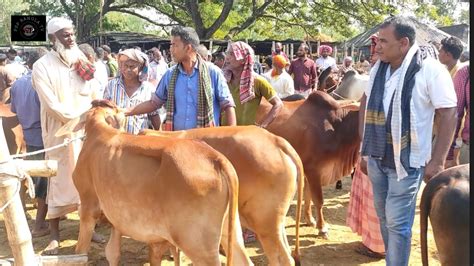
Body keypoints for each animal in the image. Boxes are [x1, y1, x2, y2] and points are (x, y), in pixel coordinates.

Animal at [61, 100, 250, 266]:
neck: (100, 130)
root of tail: (215, 158)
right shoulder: (117, 220)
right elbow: (112, 253)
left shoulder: (88, 207)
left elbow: (80, 253)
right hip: (231, 233)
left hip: (199, 246)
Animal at [258, 91, 362, 237]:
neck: (337, 126)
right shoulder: (314, 170)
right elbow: (318, 200)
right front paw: (322, 227)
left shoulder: (307, 170)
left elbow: (307, 197)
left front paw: (310, 220)